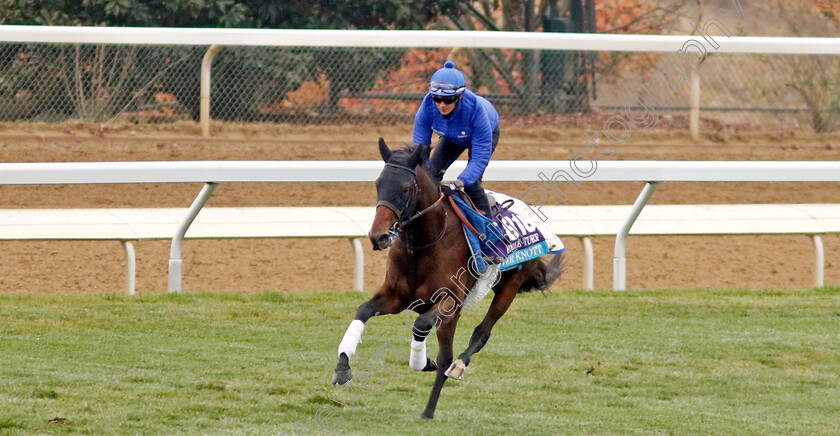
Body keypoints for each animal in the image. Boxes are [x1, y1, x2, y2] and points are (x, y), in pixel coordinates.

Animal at [332, 139, 560, 418]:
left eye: (406, 188)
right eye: (378, 183)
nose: (379, 236)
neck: (426, 241)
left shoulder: (450, 302)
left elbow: (422, 326)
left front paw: (422, 363)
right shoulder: (395, 296)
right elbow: (363, 310)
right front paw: (342, 367)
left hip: (510, 286)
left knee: (475, 338)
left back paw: (441, 391)